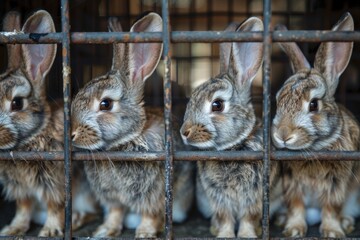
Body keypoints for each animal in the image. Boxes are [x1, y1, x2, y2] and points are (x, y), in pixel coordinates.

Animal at [0, 9, 64, 236]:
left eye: (17, 103)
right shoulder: (19, 188)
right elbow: (24, 206)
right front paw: (13, 229)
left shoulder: (55, 184)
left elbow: (55, 206)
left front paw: (50, 231)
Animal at [70, 12, 194, 237]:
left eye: (106, 104)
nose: (72, 133)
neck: (123, 143)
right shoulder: (112, 197)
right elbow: (115, 212)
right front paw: (105, 231)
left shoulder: (155, 194)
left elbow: (150, 214)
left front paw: (144, 233)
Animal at [179, 17, 280, 237]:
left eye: (217, 105)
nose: (184, 132)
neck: (233, 148)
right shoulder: (218, 199)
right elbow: (224, 217)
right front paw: (224, 234)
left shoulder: (255, 198)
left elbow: (248, 218)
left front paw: (247, 235)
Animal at [272, 12, 360, 238]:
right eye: (278, 100)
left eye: (313, 105)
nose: (283, 135)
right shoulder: (292, 184)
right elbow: (296, 206)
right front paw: (293, 230)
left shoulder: (336, 184)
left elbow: (331, 208)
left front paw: (332, 232)